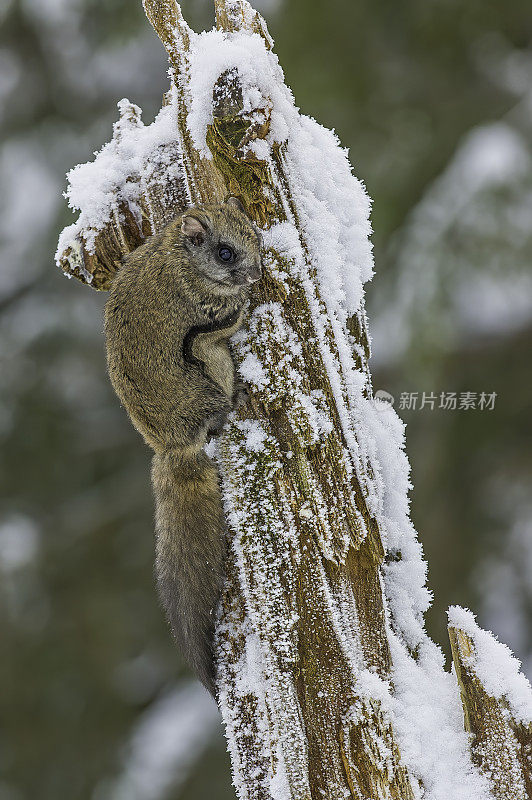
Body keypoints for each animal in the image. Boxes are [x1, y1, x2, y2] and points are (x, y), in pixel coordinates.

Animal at [104, 198, 262, 692]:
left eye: (254, 233)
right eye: (225, 253)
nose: (256, 273)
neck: (178, 254)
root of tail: (173, 447)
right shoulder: (204, 302)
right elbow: (228, 311)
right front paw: (251, 297)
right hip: (205, 364)